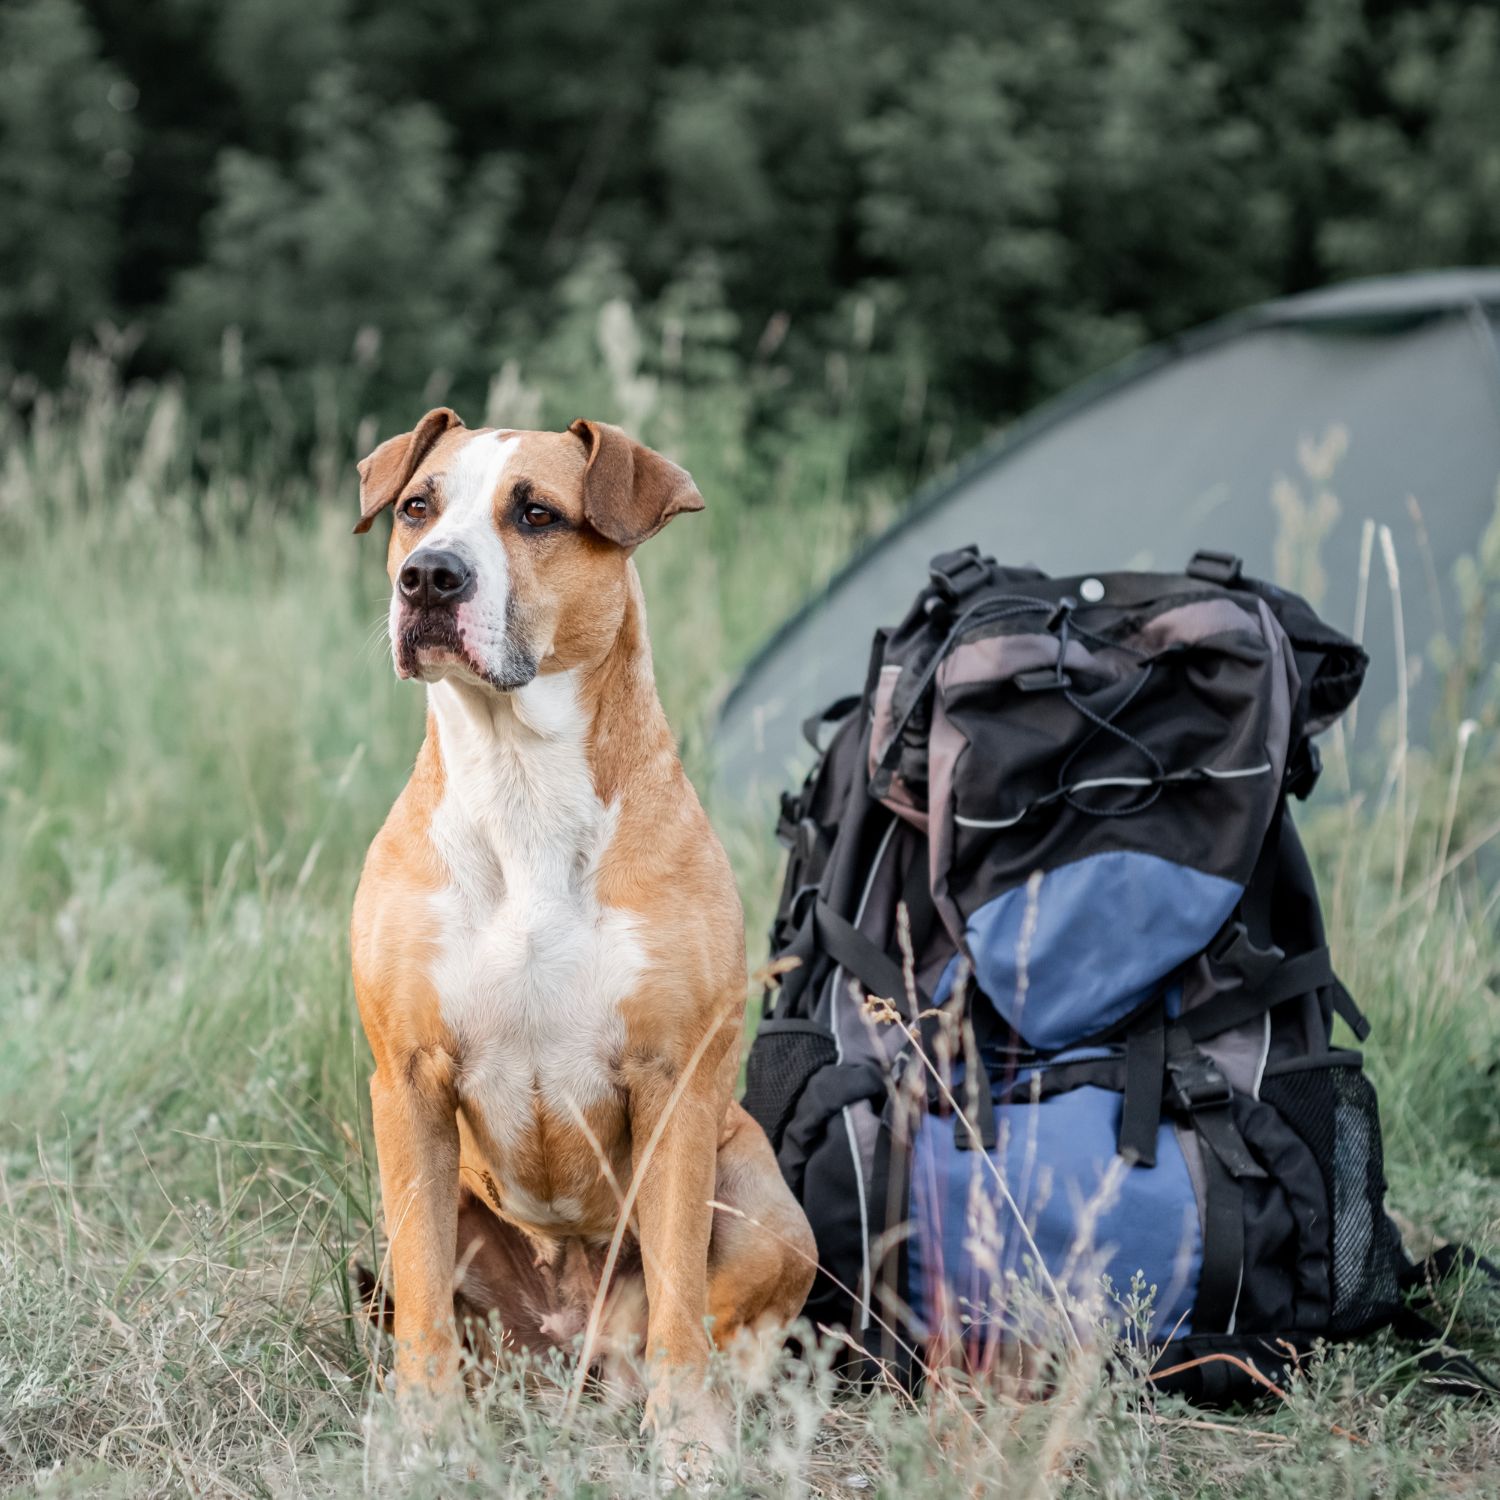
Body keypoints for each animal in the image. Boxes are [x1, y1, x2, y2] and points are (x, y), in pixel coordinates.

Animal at [349, 411, 816, 1464]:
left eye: (537, 514)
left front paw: (689, 1448)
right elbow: (425, 1301)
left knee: (704, 1320)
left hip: (765, 1201)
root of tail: (572, 1336)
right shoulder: (407, 1080)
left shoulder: (673, 1082)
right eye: (417, 507)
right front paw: (426, 1439)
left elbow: (680, 1298)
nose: (429, 577)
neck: (519, 778)